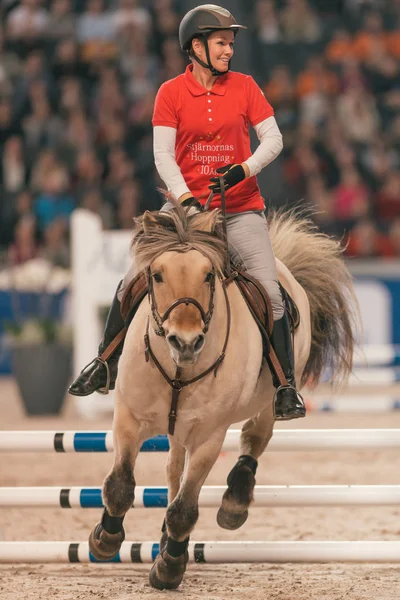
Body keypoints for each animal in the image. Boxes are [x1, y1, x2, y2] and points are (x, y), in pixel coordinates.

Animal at [88, 204, 356, 588]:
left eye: (208, 276)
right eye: (157, 275)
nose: (185, 342)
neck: (179, 369)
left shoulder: (208, 436)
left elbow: (185, 507)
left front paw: (170, 567)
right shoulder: (129, 418)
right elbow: (120, 485)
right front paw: (105, 539)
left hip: (268, 401)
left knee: (255, 437)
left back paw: (234, 502)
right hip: (176, 429)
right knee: (173, 471)